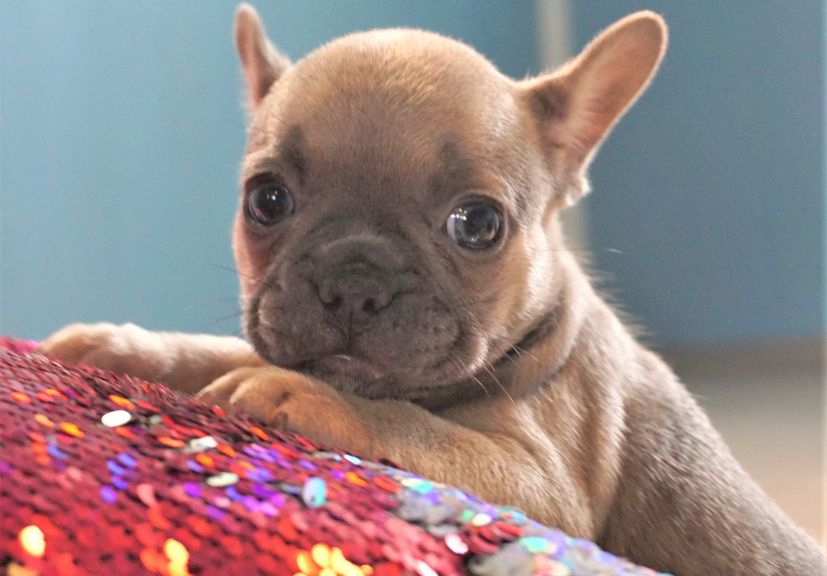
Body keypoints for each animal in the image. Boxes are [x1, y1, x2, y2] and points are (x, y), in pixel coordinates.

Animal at [40, 5, 827, 576]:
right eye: (265, 199)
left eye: (477, 224)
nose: (353, 281)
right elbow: (221, 349)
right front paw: (127, 346)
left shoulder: (540, 483)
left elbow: (411, 423)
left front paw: (309, 397)